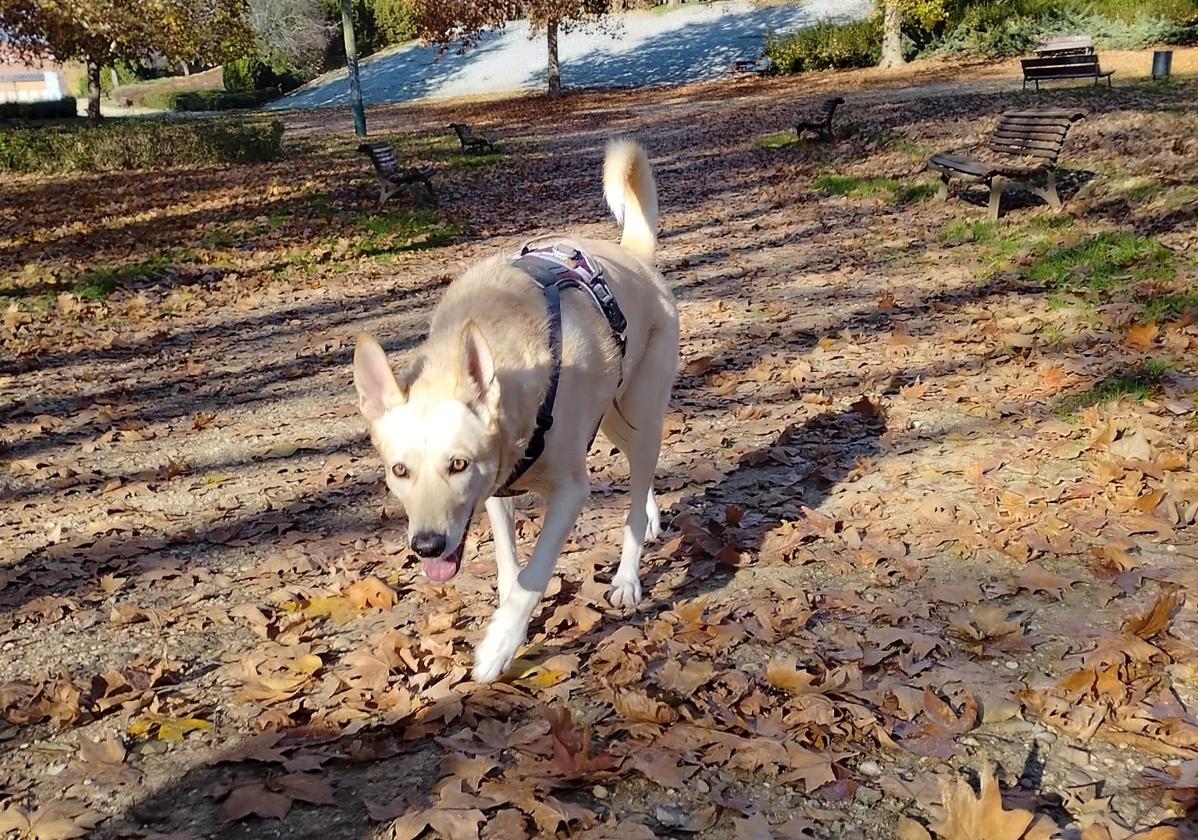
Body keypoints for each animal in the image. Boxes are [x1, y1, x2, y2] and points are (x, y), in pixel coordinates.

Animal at [349, 140, 680, 680]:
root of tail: (633, 254)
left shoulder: (569, 492)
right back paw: (650, 517)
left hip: (643, 410)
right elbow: (509, 565)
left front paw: (498, 647)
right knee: (640, 470)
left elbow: (534, 576)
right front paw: (508, 624)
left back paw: (628, 577)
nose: (426, 546)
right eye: (399, 471)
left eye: (457, 464)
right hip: (613, 417)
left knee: (635, 493)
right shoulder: (495, 490)